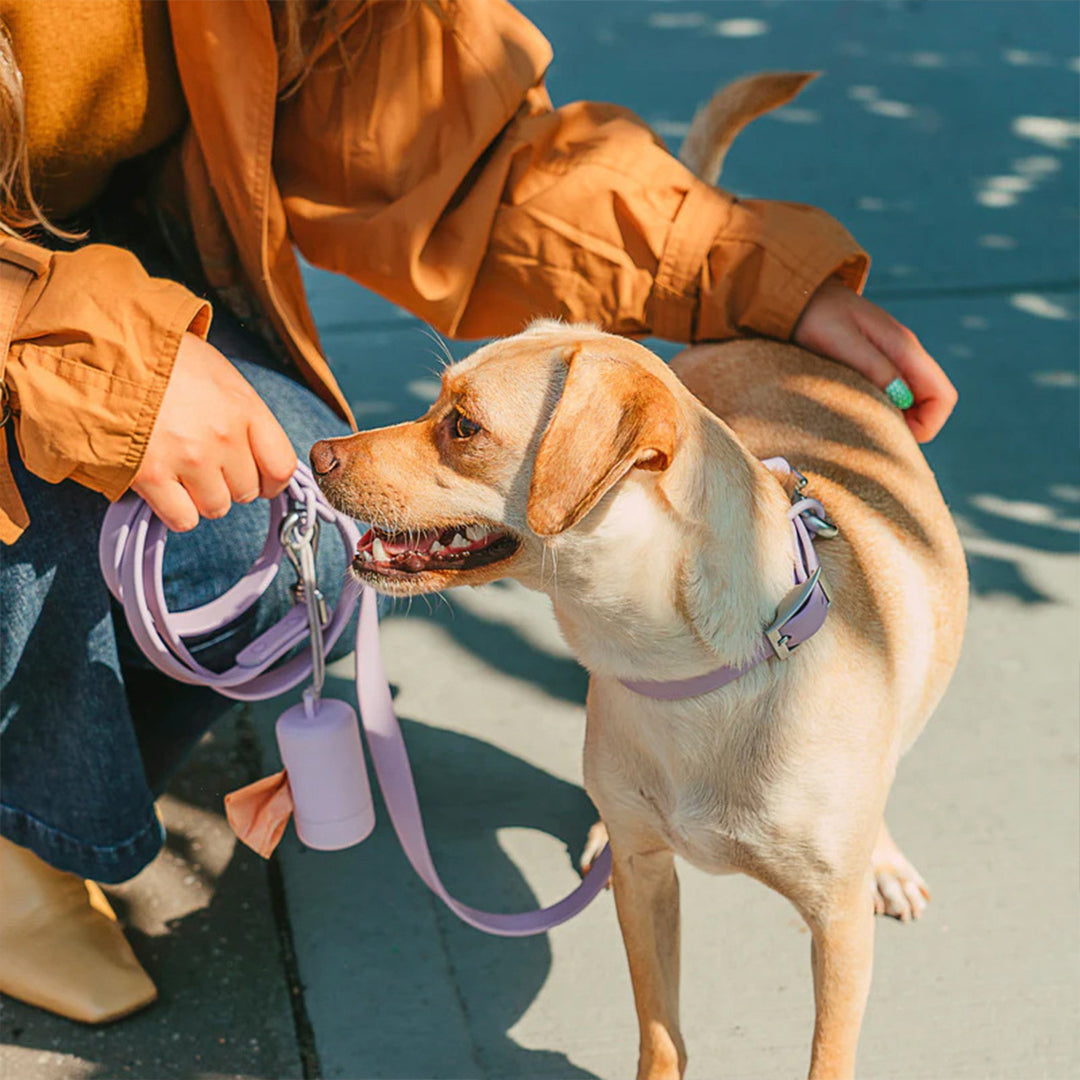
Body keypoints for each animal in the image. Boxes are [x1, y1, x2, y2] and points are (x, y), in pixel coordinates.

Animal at [308, 76, 967, 1080]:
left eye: (460, 426)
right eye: (435, 405)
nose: (316, 455)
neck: (684, 677)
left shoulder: (837, 931)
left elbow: (829, 1051)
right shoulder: (649, 885)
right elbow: (662, 1030)